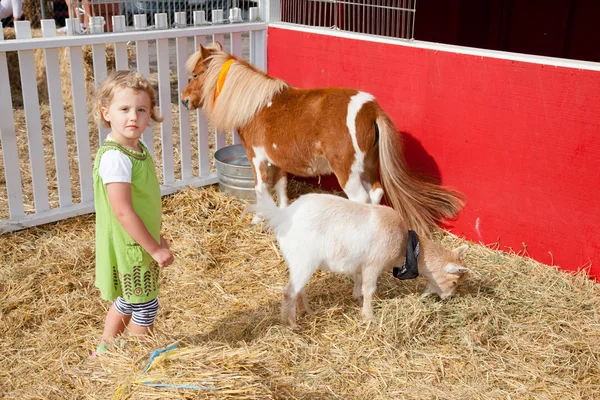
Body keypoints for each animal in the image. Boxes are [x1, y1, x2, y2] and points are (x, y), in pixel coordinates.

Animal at [244, 192, 468, 326]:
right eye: (454, 282)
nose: (449, 297)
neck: (406, 245)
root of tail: (283, 215)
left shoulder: (360, 264)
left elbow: (359, 280)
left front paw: (356, 297)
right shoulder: (374, 263)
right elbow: (370, 288)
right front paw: (369, 315)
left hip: (300, 262)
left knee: (299, 289)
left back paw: (308, 311)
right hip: (303, 260)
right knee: (289, 291)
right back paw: (291, 323)